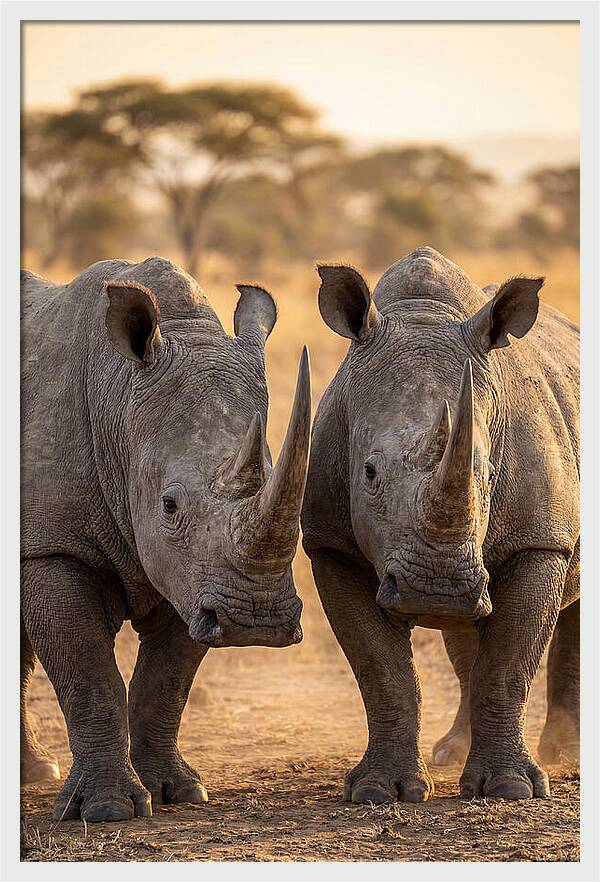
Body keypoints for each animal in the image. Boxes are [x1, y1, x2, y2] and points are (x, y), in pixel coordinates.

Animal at [21, 256, 310, 822]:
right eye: (170, 506)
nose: (257, 621)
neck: (118, 397)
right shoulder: (51, 544)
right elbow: (88, 673)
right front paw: (106, 810)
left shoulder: (195, 576)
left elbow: (166, 680)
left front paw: (178, 792)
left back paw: (35, 772)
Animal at [302, 247, 579, 803]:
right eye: (368, 473)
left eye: (487, 473)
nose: (438, 589)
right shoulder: (330, 543)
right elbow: (382, 673)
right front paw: (379, 791)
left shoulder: (541, 541)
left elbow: (509, 666)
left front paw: (512, 789)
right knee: (466, 635)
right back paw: (452, 752)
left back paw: (567, 754)